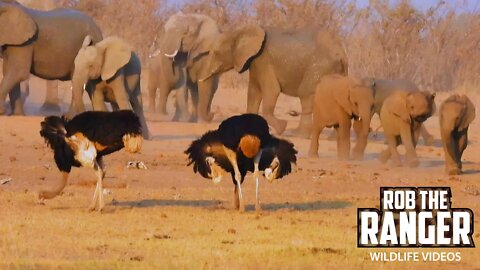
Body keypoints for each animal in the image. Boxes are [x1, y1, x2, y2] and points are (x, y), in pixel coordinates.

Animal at [200, 26, 348, 136]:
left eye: (216, 53)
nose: (212, 114)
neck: (239, 30)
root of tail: (341, 52)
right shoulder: (255, 63)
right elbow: (253, 92)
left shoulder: (263, 61)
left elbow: (271, 91)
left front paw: (282, 128)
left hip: (319, 68)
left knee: (306, 95)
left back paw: (296, 134)